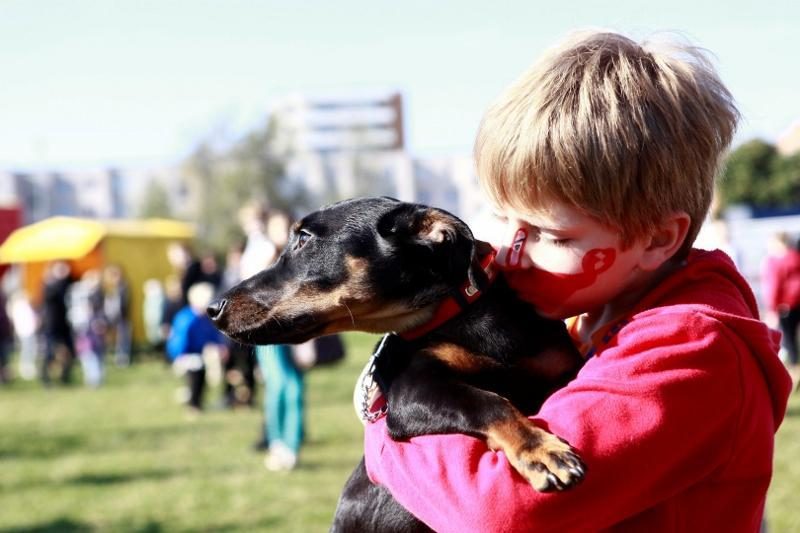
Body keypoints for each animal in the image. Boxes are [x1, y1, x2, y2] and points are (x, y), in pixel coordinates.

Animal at [211, 197, 588, 528]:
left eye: (304, 239)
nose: (213, 308)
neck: (463, 314)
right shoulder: (410, 393)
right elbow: (488, 401)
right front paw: (540, 451)